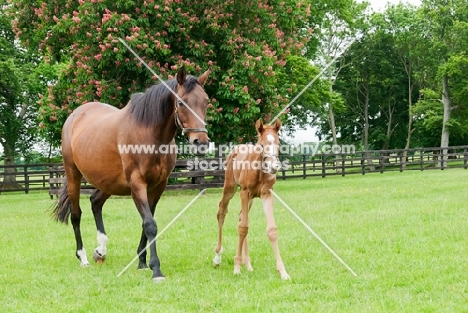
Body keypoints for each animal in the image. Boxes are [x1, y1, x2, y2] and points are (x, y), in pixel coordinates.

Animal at [52, 67, 211, 282]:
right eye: (181, 102)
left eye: (206, 101)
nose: (200, 142)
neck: (150, 134)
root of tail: (75, 116)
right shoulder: (137, 184)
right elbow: (150, 224)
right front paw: (156, 269)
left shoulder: (158, 186)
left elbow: (147, 222)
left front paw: (142, 262)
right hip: (73, 176)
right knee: (76, 215)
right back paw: (83, 257)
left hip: (109, 182)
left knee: (96, 202)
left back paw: (101, 251)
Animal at [212, 117, 288, 278]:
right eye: (262, 145)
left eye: (278, 144)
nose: (274, 167)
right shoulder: (244, 192)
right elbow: (243, 228)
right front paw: (236, 267)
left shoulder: (266, 194)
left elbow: (271, 230)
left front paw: (283, 271)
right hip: (231, 187)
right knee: (222, 212)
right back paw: (218, 257)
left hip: (251, 198)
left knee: (242, 216)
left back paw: (247, 264)